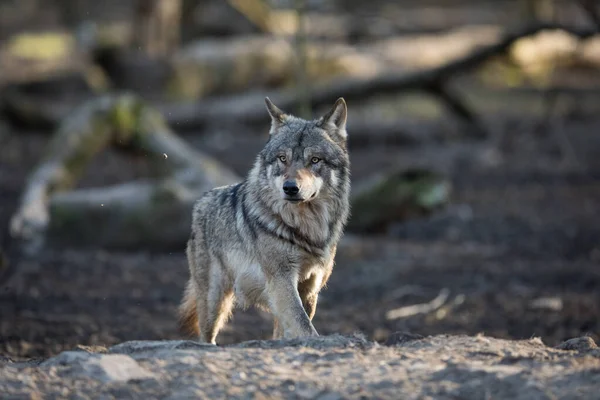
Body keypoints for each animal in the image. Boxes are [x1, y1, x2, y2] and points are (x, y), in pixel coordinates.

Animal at [180, 97, 354, 344]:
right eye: (282, 158)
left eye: (314, 160)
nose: (290, 188)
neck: (306, 228)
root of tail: (202, 200)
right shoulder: (281, 280)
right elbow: (304, 327)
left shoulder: (309, 288)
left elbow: (298, 327)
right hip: (215, 301)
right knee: (206, 336)